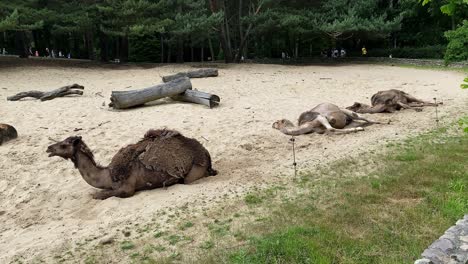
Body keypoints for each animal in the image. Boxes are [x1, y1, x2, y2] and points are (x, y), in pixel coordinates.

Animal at [45, 129, 218, 199]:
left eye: (64, 145)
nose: (49, 148)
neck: (108, 175)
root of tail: (206, 152)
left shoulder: (126, 188)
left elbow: (100, 195)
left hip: (196, 168)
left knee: (188, 180)